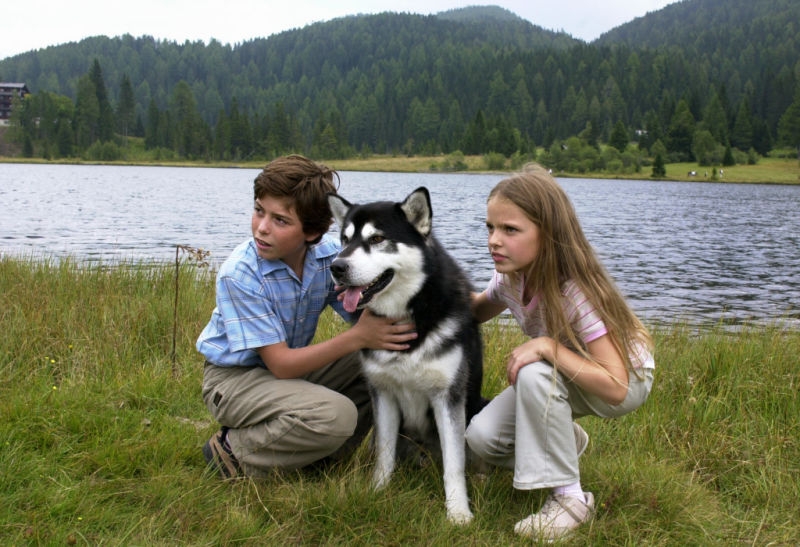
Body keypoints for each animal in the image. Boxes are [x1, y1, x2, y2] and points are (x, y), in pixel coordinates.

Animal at [328, 187, 485, 525]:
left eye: (376, 238)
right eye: (344, 239)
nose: (336, 267)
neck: (408, 312)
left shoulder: (448, 397)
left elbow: (455, 464)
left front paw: (458, 512)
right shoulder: (383, 393)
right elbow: (384, 456)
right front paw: (377, 491)